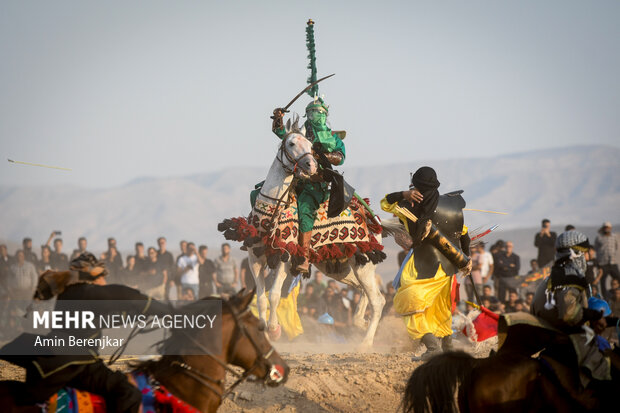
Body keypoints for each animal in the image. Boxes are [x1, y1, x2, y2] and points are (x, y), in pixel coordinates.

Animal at [246, 116, 382, 348]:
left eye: (311, 146)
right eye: (291, 143)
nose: (311, 165)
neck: (271, 212)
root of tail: (373, 220)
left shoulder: (285, 258)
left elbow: (274, 295)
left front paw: (274, 330)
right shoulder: (255, 259)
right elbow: (261, 299)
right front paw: (264, 334)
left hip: (364, 265)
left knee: (378, 301)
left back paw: (365, 343)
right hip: (342, 269)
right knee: (367, 293)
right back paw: (359, 322)